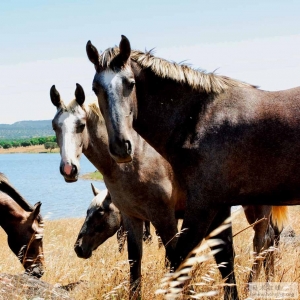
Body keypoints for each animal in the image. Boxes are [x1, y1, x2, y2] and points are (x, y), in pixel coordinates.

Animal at [50, 84, 288, 298]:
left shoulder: (164, 217)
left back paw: (251, 285)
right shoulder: (133, 217)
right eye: (55, 126)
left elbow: (174, 256)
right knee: (270, 239)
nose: (69, 169)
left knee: (261, 241)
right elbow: (135, 261)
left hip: (258, 207)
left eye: (81, 125)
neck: (136, 158)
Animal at [85, 36, 298, 298]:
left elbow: (178, 261)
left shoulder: (202, 206)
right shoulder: (217, 207)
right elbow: (223, 258)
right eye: (95, 88)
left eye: (130, 84)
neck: (200, 119)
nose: (120, 147)